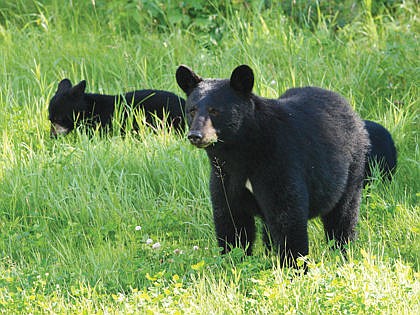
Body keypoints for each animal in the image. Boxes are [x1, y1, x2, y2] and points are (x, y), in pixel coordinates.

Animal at [176, 64, 370, 266]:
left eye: (215, 110)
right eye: (192, 110)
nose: (195, 135)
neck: (241, 152)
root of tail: (346, 103)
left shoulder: (279, 163)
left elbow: (287, 217)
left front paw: (294, 266)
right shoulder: (224, 177)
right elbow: (232, 221)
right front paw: (233, 261)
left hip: (353, 166)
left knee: (343, 215)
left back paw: (343, 251)